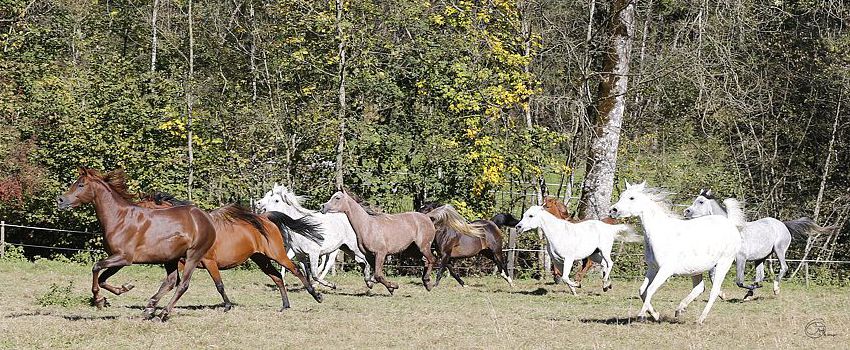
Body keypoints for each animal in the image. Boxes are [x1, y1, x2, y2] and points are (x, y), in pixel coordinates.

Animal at [55, 168, 224, 322]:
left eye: (81, 184)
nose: (60, 200)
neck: (119, 218)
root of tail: (206, 217)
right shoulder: (118, 260)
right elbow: (103, 279)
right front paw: (123, 289)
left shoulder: (124, 258)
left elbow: (96, 267)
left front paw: (98, 300)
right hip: (170, 258)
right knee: (170, 282)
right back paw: (149, 309)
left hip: (193, 256)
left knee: (183, 284)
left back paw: (162, 314)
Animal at [137, 193, 322, 310]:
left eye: (144, 207)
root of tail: (265, 218)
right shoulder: (184, 263)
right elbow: (170, 283)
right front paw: (151, 306)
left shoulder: (209, 262)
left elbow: (219, 285)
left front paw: (227, 306)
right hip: (260, 259)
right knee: (276, 276)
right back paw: (285, 305)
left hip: (277, 254)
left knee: (295, 270)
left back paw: (316, 296)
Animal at [608, 182, 740, 324]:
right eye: (621, 196)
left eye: (632, 198)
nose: (612, 210)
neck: (660, 233)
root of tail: (730, 224)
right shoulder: (652, 268)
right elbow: (642, 290)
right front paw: (655, 315)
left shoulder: (666, 270)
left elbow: (650, 289)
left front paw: (641, 315)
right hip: (695, 269)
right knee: (699, 287)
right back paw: (680, 310)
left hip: (723, 264)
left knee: (714, 291)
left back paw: (700, 319)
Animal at [680, 190, 832, 300]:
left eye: (700, 201)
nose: (685, 211)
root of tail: (783, 224)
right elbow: (712, 275)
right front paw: (723, 295)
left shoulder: (741, 258)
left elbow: (739, 281)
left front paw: (748, 291)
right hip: (761, 258)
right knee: (760, 276)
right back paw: (751, 292)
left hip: (779, 250)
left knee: (783, 268)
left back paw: (775, 289)